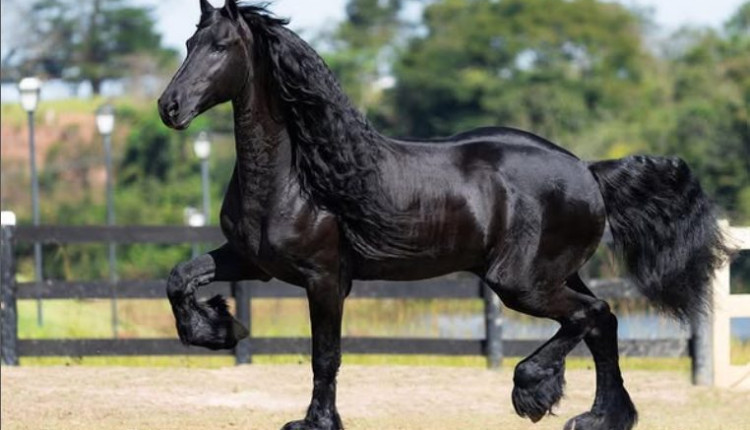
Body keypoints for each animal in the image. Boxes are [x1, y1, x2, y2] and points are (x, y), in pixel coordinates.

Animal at [157, 2, 731, 429]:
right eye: (187, 44)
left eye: (221, 46)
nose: (169, 107)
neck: (300, 176)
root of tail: (587, 170)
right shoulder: (251, 261)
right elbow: (179, 278)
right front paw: (220, 330)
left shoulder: (324, 279)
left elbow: (326, 355)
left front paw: (315, 421)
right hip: (552, 274)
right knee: (599, 322)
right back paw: (597, 416)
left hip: (519, 282)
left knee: (592, 314)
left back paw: (533, 390)